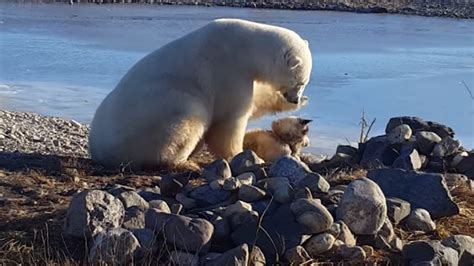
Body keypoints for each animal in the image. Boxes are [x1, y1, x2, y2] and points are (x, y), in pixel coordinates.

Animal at [89, 18, 312, 168]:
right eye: (300, 82)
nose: (295, 98)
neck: (246, 45)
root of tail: (97, 149)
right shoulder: (228, 68)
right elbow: (230, 117)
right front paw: (240, 154)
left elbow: (257, 99)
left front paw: (299, 102)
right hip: (153, 115)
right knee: (190, 114)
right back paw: (182, 161)